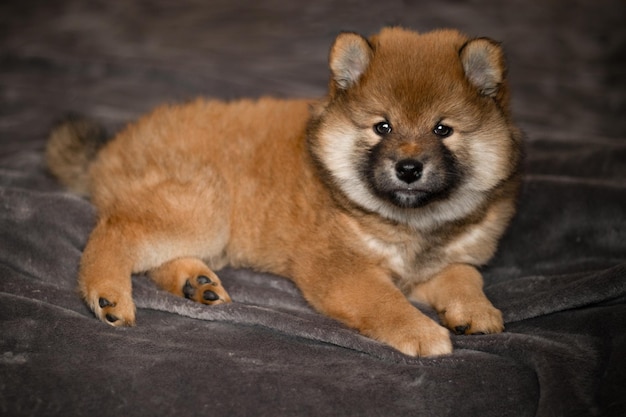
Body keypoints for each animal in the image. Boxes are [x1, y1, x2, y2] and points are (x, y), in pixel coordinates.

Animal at [45, 27, 520, 356]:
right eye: (382, 127)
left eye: (443, 130)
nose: (408, 168)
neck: (410, 221)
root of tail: (113, 147)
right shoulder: (340, 268)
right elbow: (386, 302)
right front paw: (421, 332)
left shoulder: (442, 262)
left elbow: (465, 275)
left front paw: (476, 310)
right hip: (202, 208)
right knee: (115, 232)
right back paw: (107, 294)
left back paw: (196, 284)